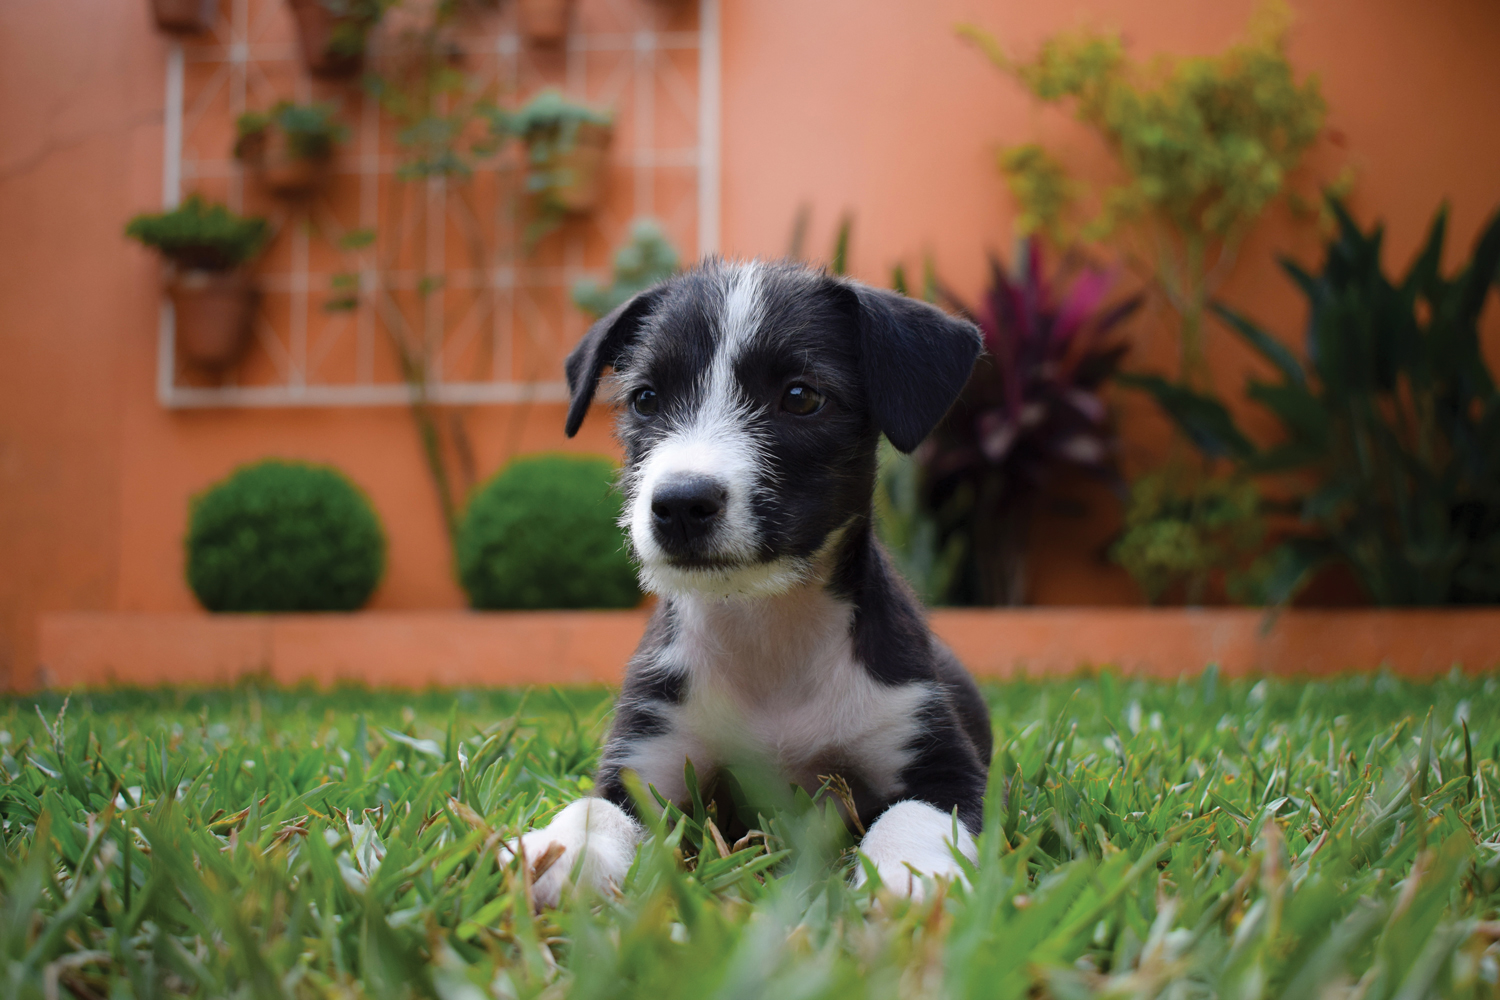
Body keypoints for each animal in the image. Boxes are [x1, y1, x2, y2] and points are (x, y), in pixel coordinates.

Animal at [514, 259, 992, 905]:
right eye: (644, 399)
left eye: (800, 396)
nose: (681, 503)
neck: (764, 627)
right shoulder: (647, 757)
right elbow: (596, 810)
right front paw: (556, 856)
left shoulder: (940, 761)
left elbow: (915, 814)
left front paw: (914, 878)